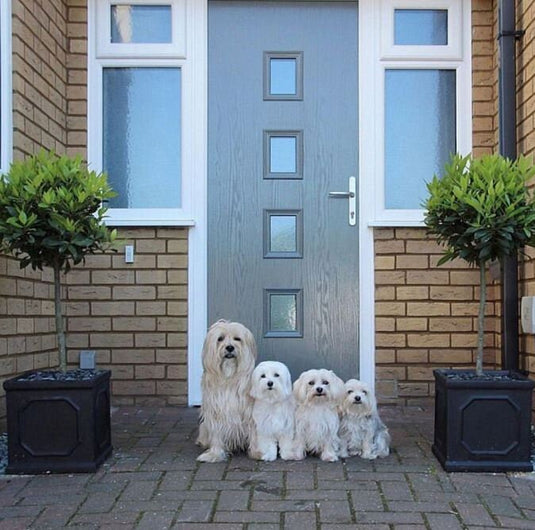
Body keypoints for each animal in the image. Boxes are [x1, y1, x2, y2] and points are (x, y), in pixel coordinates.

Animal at [197, 318, 258, 462]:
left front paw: (257, 452)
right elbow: (216, 434)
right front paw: (214, 454)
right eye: (220, 339)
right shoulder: (215, 410)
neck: (229, 377)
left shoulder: (249, 411)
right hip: (204, 427)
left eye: (237, 339)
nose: (230, 347)